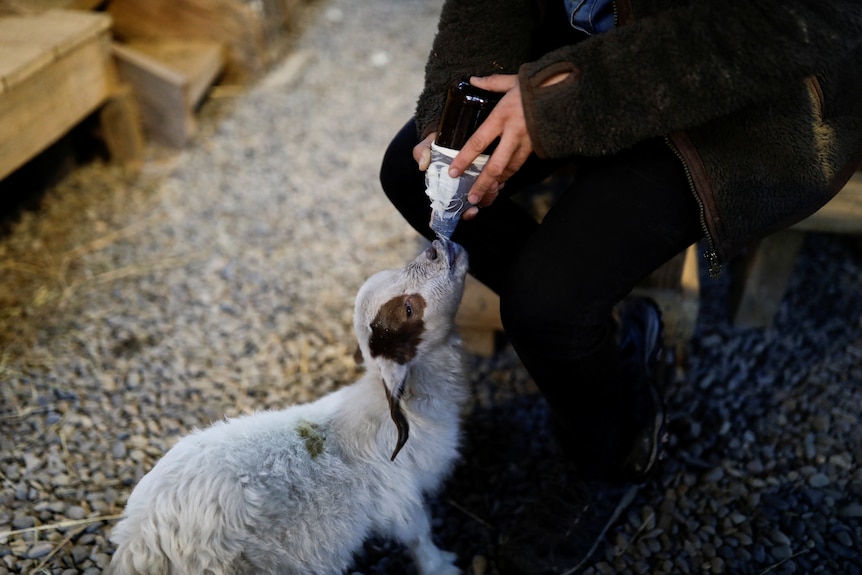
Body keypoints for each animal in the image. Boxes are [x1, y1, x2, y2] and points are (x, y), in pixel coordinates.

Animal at [110, 242, 472, 575]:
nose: (437, 248)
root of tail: (141, 542)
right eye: (409, 309)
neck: (411, 408)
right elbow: (419, 538)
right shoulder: (400, 499)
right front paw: (443, 567)